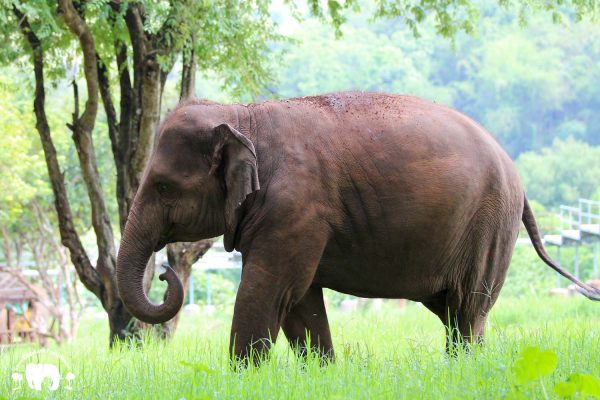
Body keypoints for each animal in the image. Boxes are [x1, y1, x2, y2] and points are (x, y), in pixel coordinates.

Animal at [115, 92, 596, 360]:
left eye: (162, 186)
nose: (166, 272)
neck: (243, 114)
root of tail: (518, 177)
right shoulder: (292, 218)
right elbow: (300, 301)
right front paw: (320, 373)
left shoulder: (296, 206)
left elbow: (268, 290)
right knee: (452, 310)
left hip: (489, 225)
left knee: (467, 311)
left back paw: (466, 367)